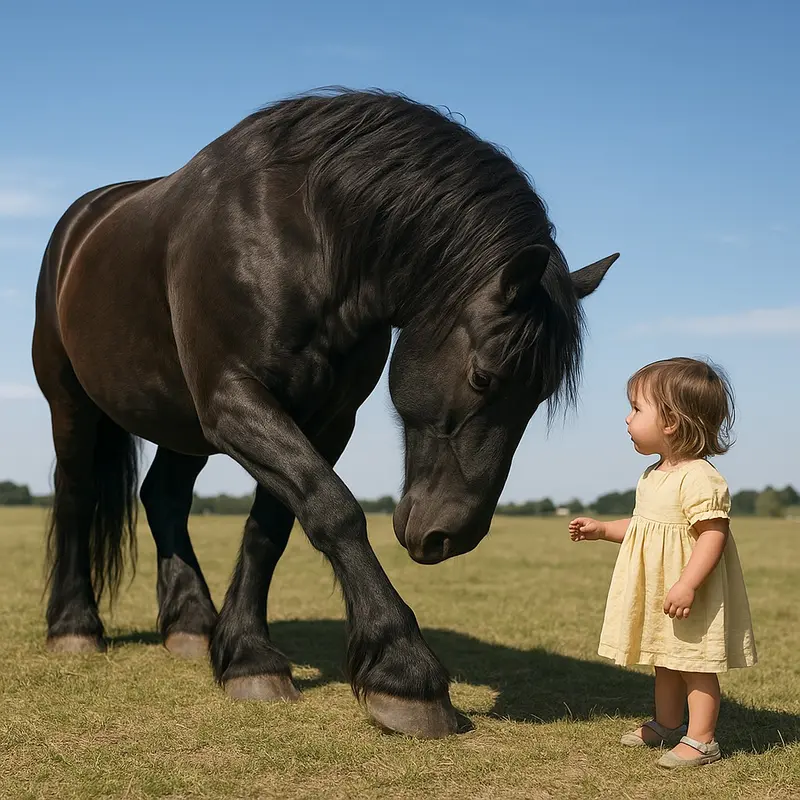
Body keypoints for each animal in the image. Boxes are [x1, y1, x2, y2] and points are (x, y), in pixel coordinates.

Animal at [32, 88, 618, 738]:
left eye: (539, 397)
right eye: (484, 377)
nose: (453, 535)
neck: (305, 239)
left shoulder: (327, 419)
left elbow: (273, 527)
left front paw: (247, 656)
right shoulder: (235, 399)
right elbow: (335, 510)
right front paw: (405, 673)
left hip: (179, 421)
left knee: (163, 496)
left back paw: (189, 624)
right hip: (71, 403)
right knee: (77, 493)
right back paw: (75, 627)